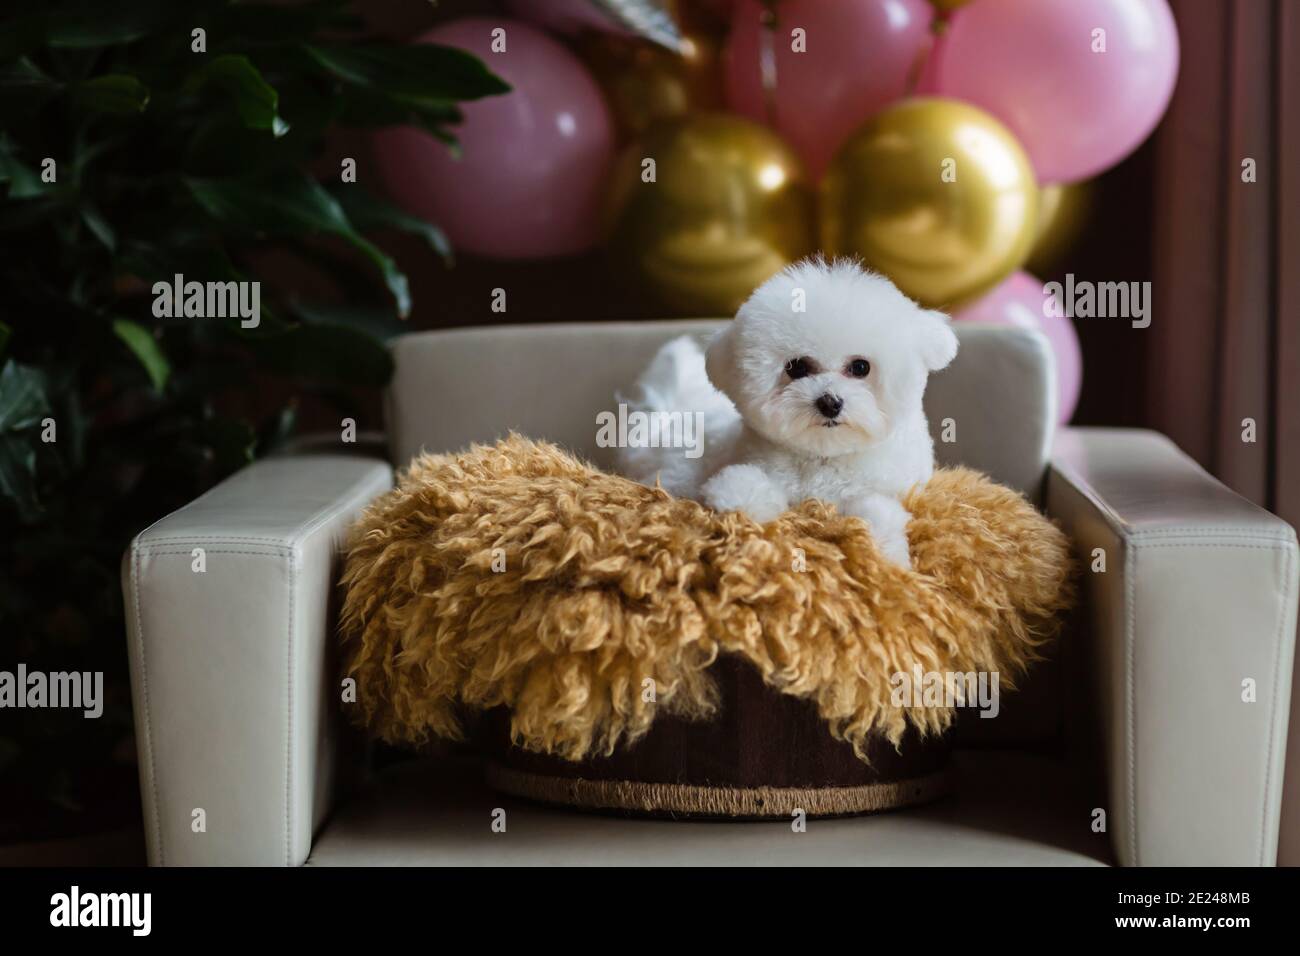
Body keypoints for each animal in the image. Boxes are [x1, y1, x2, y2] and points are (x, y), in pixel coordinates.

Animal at [613, 256, 961, 567]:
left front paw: (887, 555)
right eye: (796, 367)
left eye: (861, 367)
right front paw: (744, 507)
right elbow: (746, 486)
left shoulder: (889, 488)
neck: (824, 457)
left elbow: (876, 511)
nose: (829, 402)